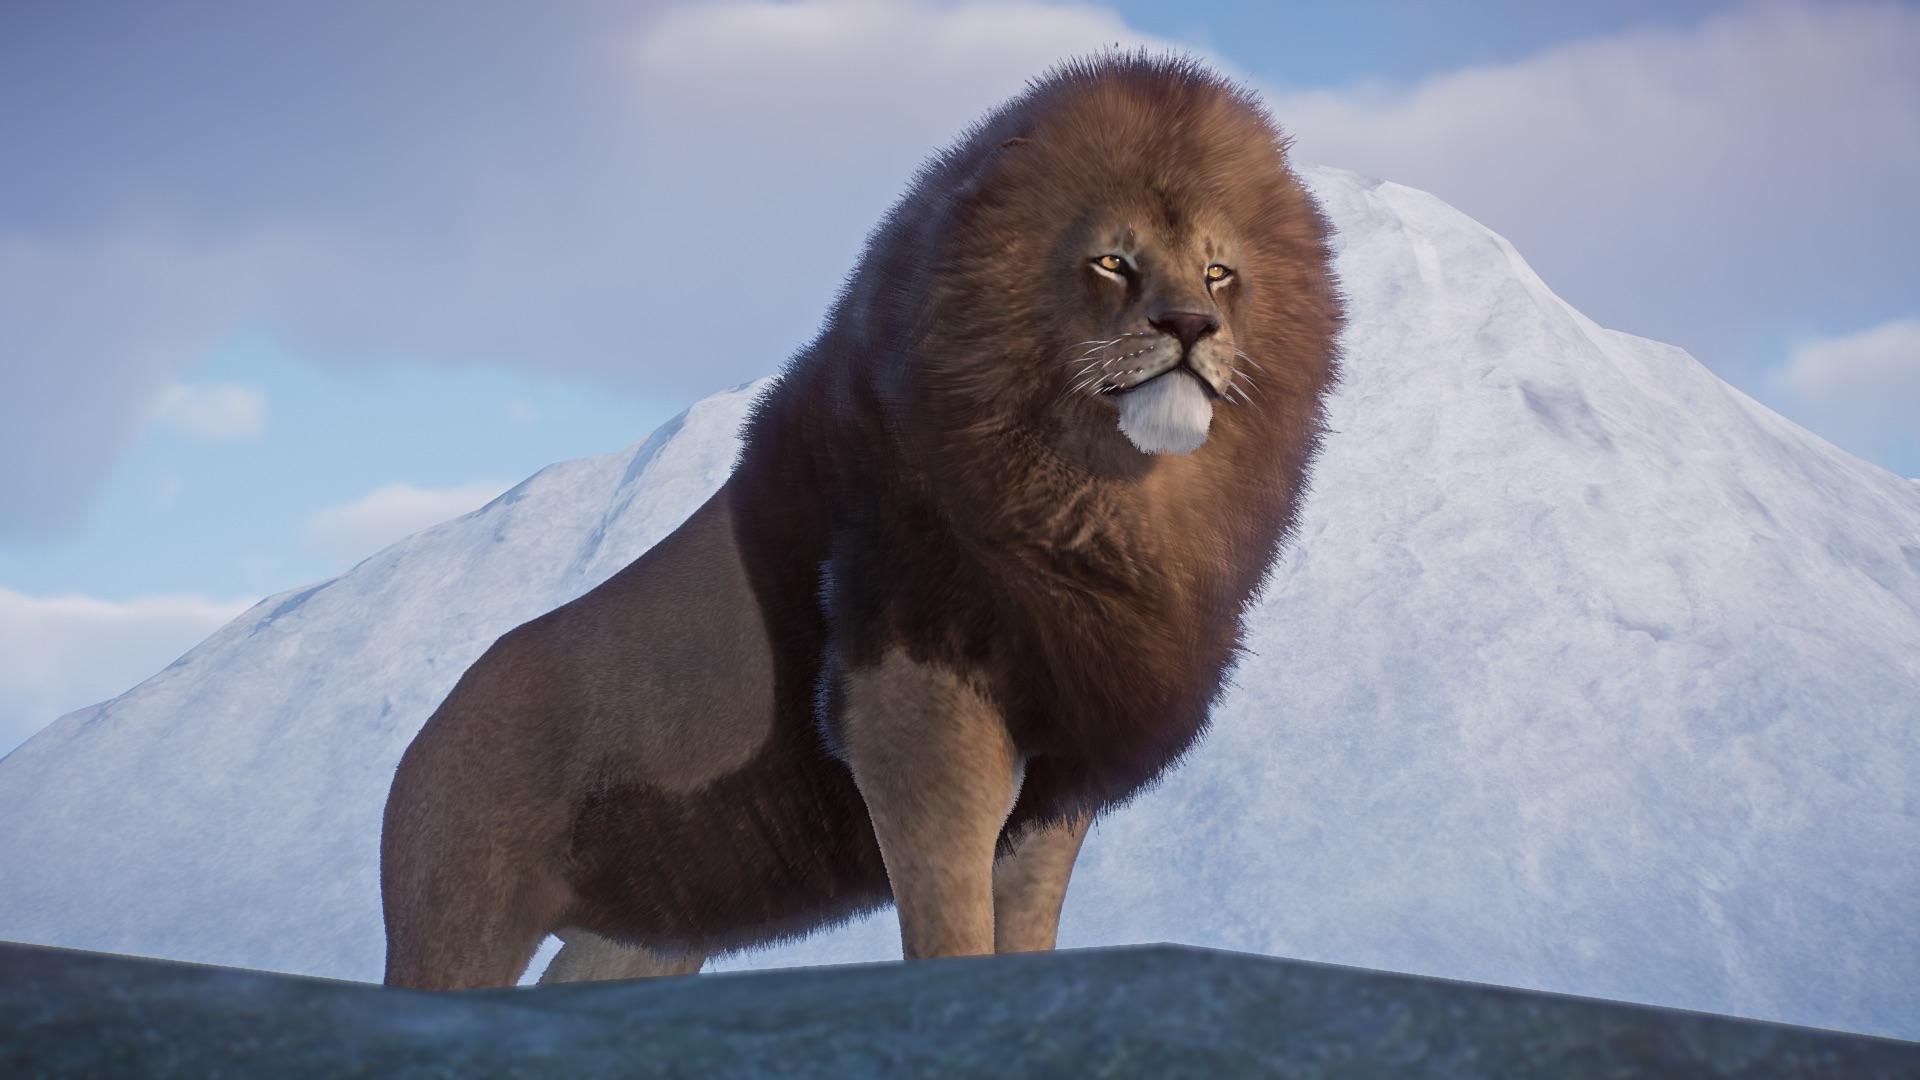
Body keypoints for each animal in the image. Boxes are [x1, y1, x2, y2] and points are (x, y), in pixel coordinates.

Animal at [380, 53, 1342, 990]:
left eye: (1219, 271)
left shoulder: (1055, 782)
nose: (1191, 325)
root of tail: (427, 733)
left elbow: (1025, 927)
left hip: (647, 932)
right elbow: (950, 924)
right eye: (1113, 261)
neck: (1104, 506)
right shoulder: (915, 713)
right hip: (460, 914)